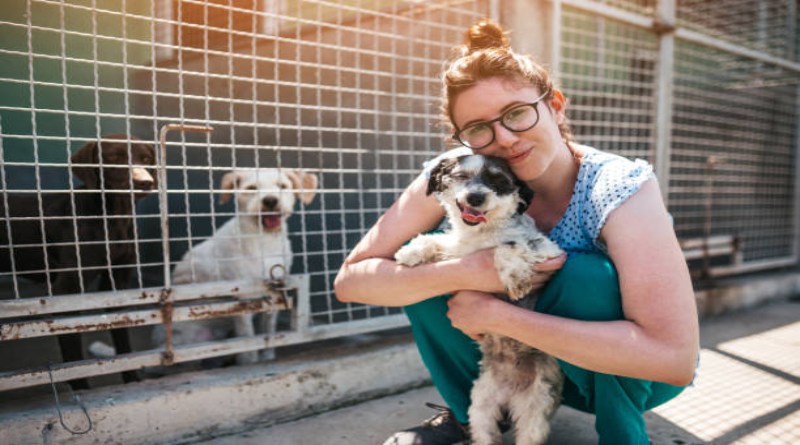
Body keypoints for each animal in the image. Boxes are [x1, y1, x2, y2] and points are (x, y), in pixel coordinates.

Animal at [161, 166, 318, 364]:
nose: (270, 200)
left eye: (282, 186)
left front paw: (268, 356)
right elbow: (248, 340)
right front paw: (250, 362)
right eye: (251, 188)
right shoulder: (244, 298)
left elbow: (270, 331)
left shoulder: (275, 294)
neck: (264, 241)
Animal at [394, 153, 564, 444]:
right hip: (481, 406)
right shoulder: (455, 249)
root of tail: (511, 389)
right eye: (461, 176)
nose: (475, 197)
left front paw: (515, 276)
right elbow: (435, 241)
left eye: (498, 181)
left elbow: (507, 245)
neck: (479, 234)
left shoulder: (549, 251)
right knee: (485, 433)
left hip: (536, 409)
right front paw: (412, 252)